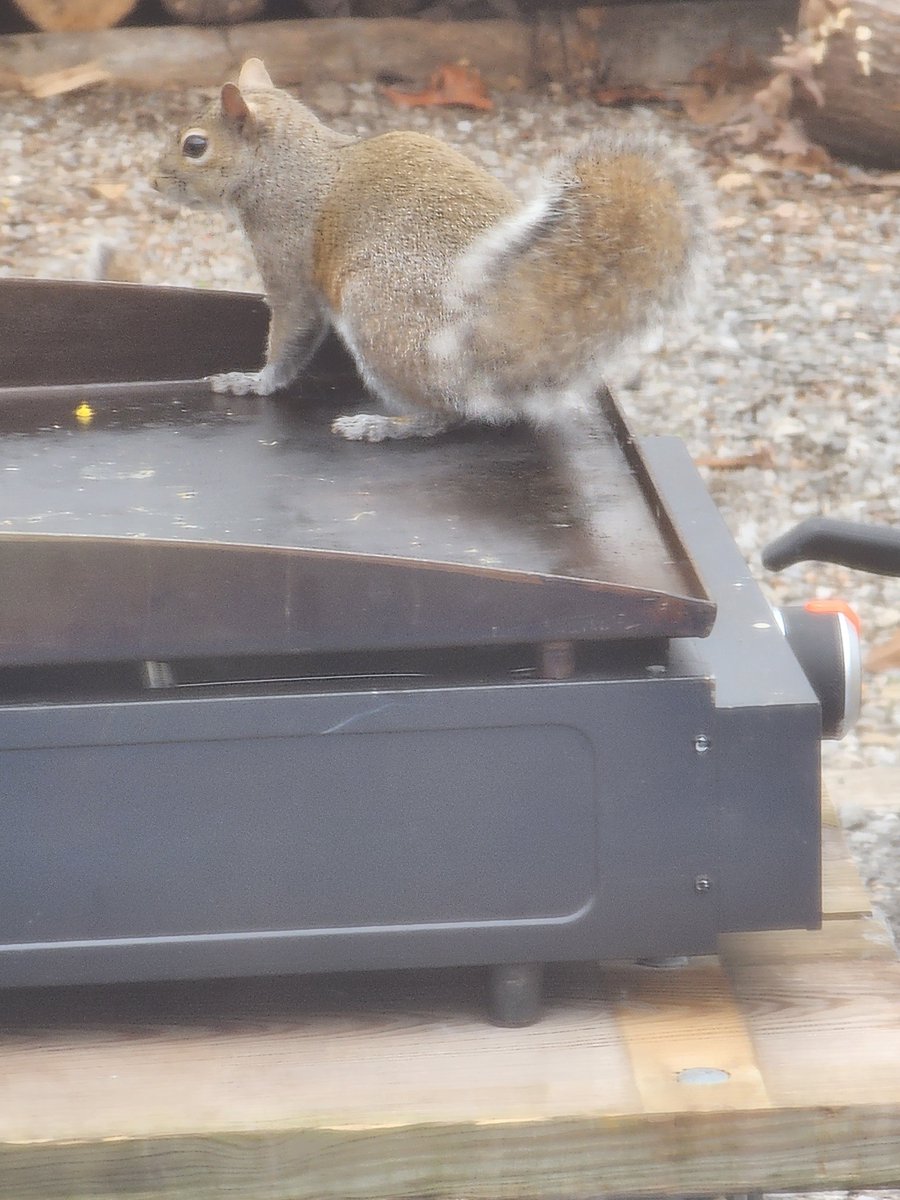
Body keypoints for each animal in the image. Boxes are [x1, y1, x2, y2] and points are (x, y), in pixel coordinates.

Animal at [153, 57, 710, 451]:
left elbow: (292, 332)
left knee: (446, 414)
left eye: (195, 146)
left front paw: (252, 382)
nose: (154, 181)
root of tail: (500, 347)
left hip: (378, 310)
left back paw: (383, 425)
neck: (285, 166)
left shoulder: (287, 255)